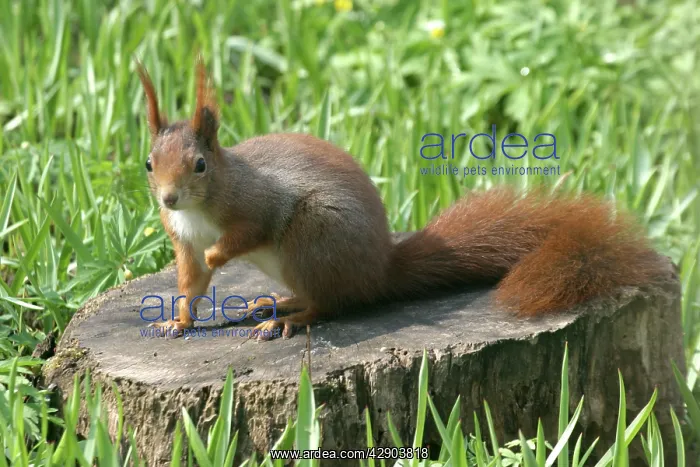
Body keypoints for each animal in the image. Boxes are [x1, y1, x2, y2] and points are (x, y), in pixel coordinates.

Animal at [136, 57, 665, 340]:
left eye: (199, 166)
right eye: (148, 163)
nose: (168, 198)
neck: (200, 208)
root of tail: (379, 271)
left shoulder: (254, 204)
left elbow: (246, 233)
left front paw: (217, 253)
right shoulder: (181, 237)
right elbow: (191, 283)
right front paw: (176, 323)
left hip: (314, 236)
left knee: (333, 304)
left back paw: (292, 318)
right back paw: (277, 301)